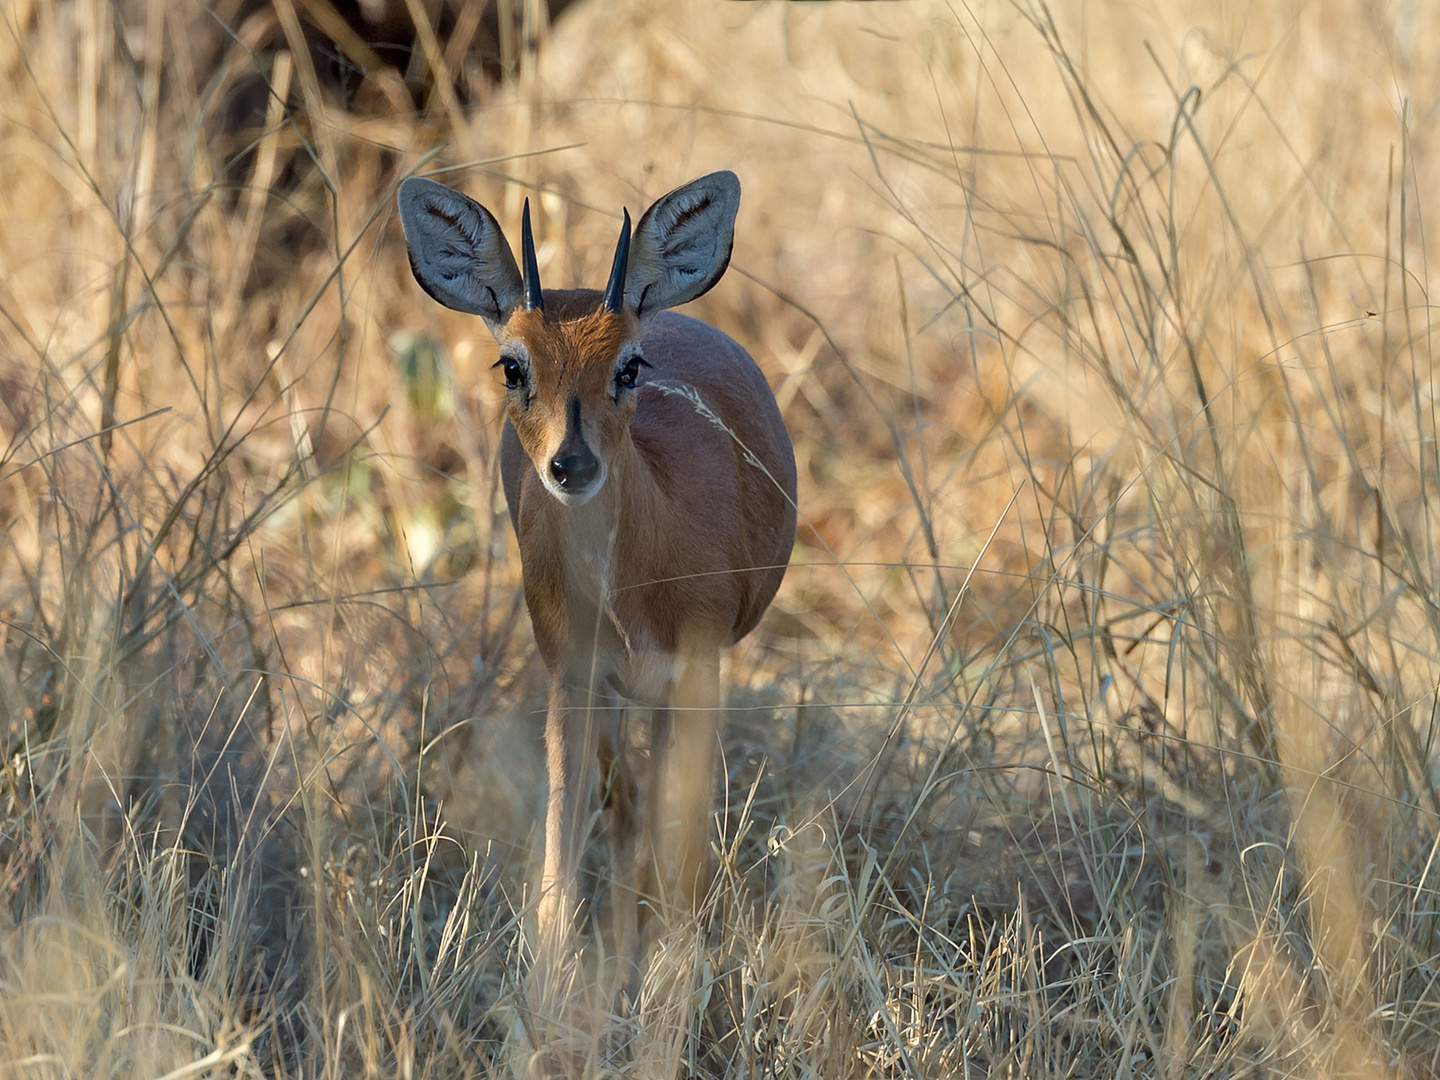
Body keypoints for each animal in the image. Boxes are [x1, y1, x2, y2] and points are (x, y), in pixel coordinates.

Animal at [400, 175, 794, 1013]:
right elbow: (564, 839)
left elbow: (681, 841)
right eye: (512, 366)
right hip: (613, 694)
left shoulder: (698, 671)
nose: (570, 464)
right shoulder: (572, 677)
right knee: (622, 803)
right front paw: (562, 988)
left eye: (629, 365)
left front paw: (668, 985)